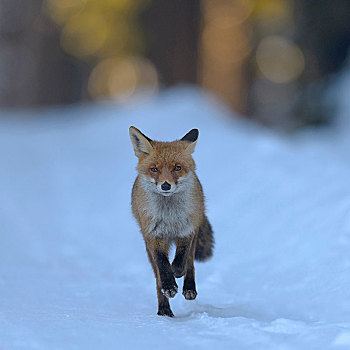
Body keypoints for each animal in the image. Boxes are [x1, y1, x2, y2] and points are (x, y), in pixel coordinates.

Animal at [130, 126, 215, 318]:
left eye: (177, 167)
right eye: (154, 169)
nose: (165, 185)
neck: (170, 216)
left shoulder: (187, 230)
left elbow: (182, 259)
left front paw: (177, 271)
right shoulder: (153, 236)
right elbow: (162, 265)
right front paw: (169, 286)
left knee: (190, 262)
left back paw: (189, 288)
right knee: (157, 277)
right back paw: (164, 309)